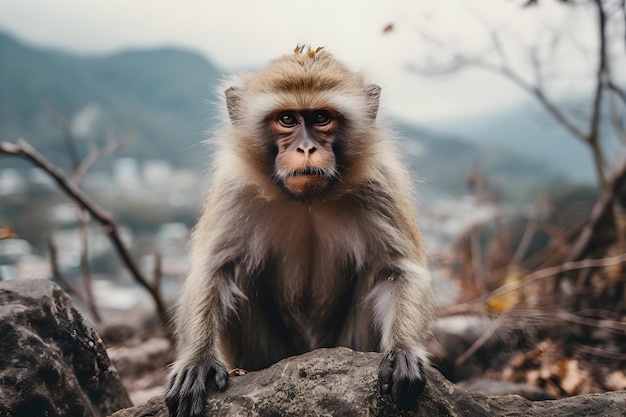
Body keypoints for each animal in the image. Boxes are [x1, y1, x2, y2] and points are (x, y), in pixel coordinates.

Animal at [163, 45, 432, 416]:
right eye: (287, 119)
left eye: (321, 118)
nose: (306, 148)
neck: (308, 202)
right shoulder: (234, 189)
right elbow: (214, 269)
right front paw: (198, 361)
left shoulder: (382, 184)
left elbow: (398, 269)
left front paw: (403, 351)